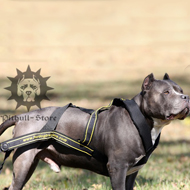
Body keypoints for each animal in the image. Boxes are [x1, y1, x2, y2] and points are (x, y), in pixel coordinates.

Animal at [0, 73, 190, 190]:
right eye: (166, 92)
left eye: (180, 91)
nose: (186, 97)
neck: (140, 120)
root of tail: (21, 117)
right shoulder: (118, 168)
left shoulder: (131, 173)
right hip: (24, 162)